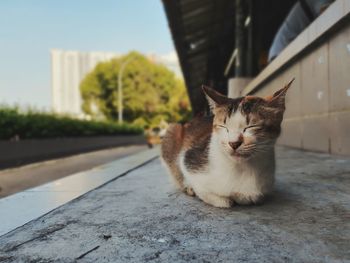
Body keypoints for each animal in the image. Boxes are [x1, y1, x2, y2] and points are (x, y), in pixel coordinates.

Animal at [161, 80, 292, 208]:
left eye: (251, 127)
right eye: (224, 127)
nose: (233, 143)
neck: (244, 168)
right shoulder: (188, 158)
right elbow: (209, 194)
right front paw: (221, 198)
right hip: (173, 129)